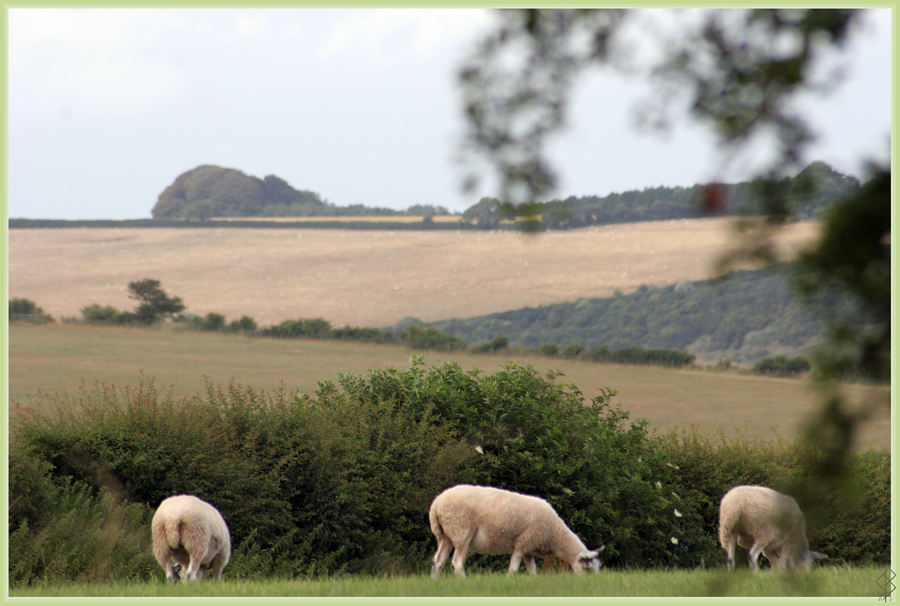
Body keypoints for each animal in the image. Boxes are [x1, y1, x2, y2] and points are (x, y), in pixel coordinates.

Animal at [428, 484, 604, 580]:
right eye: (588, 569)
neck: (555, 535)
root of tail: (436, 505)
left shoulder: (529, 549)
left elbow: (533, 571)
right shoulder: (522, 543)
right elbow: (513, 569)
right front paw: (509, 579)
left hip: (446, 535)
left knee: (438, 561)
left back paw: (434, 581)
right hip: (461, 531)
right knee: (457, 562)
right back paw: (464, 581)